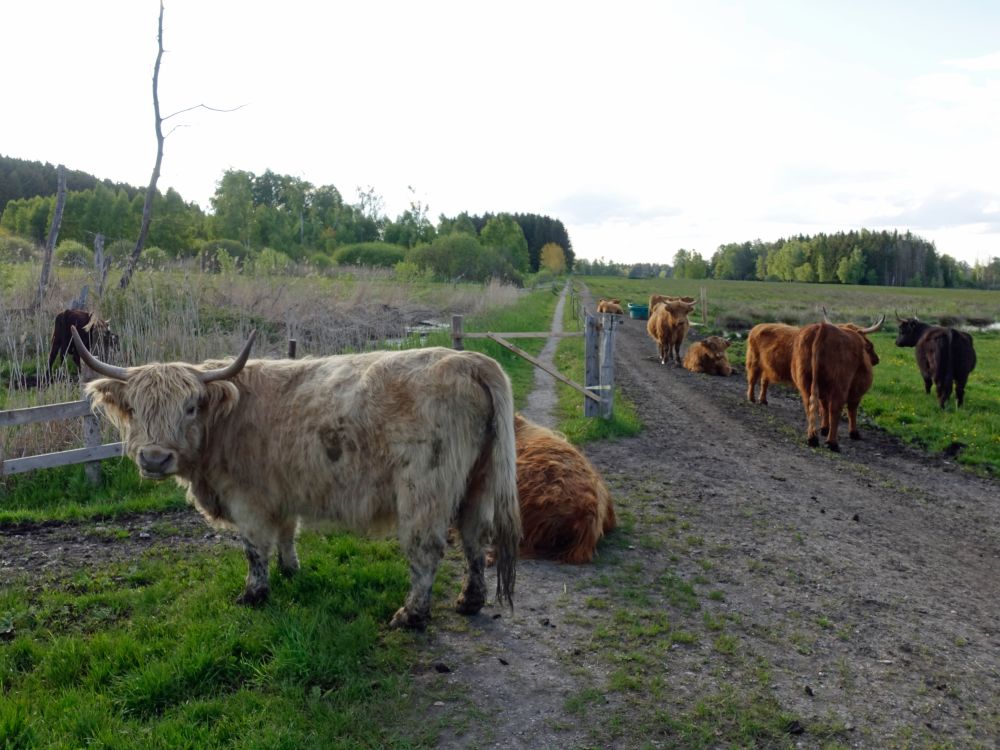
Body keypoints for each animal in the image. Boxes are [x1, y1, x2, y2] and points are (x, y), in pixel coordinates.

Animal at [74, 328, 520, 628]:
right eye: (135, 408)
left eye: (190, 407)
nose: (154, 457)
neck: (226, 420)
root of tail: (470, 361)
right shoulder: (281, 492)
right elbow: (287, 533)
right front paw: (291, 570)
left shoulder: (248, 499)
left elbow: (254, 549)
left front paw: (253, 594)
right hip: (478, 483)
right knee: (475, 539)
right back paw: (469, 601)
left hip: (424, 490)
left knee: (426, 550)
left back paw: (410, 615)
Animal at [788, 318, 884, 452]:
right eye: (869, 346)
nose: (876, 359)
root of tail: (823, 328)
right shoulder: (856, 393)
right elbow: (852, 410)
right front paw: (853, 433)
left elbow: (824, 407)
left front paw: (824, 428)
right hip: (840, 384)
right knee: (835, 408)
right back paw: (832, 443)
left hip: (805, 383)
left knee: (810, 405)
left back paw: (812, 438)